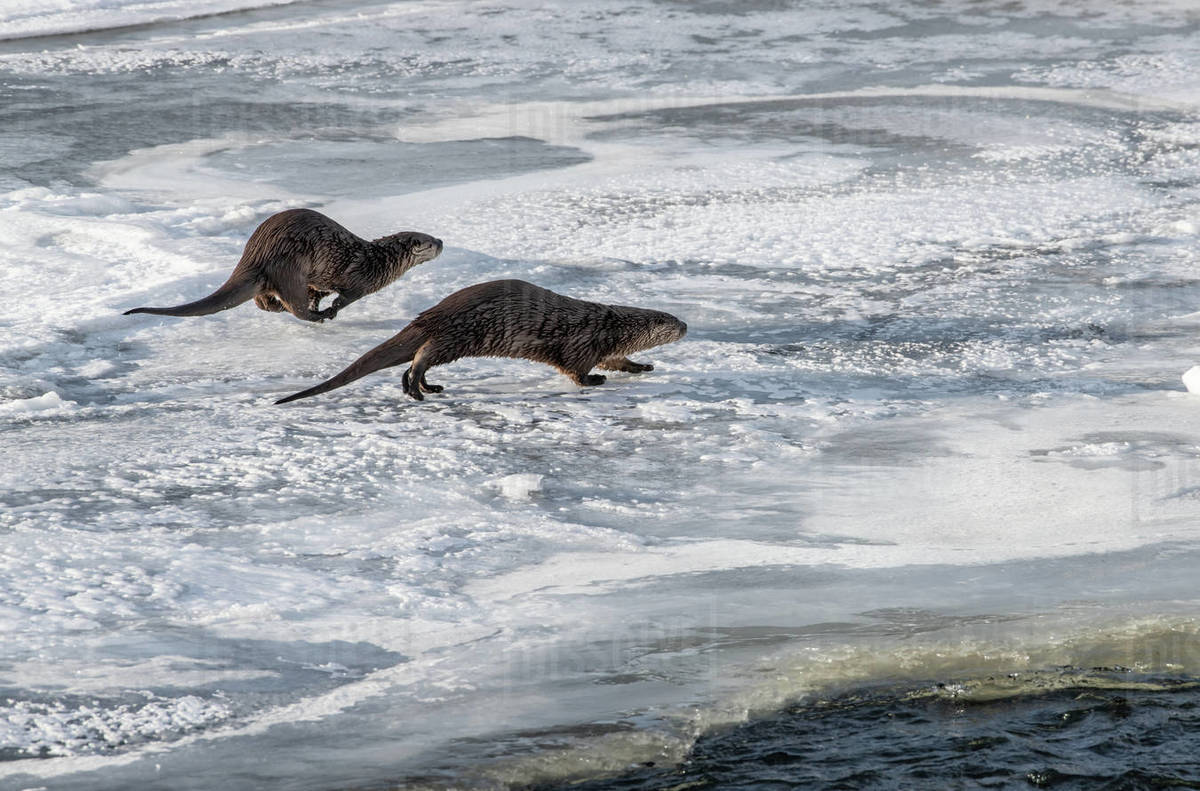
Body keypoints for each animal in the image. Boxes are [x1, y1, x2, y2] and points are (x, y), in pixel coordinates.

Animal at [124, 208, 442, 322]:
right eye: (429, 242)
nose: (441, 240)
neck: (380, 260)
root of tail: (255, 253)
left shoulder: (320, 281)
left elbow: (318, 291)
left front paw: (320, 304)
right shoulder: (361, 282)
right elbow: (344, 298)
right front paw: (329, 310)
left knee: (262, 300)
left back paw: (280, 308)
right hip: (290, 267)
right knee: (294, 304)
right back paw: (315, 317)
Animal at [275, 279, 687, 404]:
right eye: (670, 322)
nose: (686, 325)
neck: (609, 326)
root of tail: (431, 313)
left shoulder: (605, 347)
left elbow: (618, 360)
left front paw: (643, 365)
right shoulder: (582, 343)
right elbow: (577, 370)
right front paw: (595, 381)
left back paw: (425, 387)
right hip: (458, 334)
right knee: (423, 355)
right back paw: (418, 388)